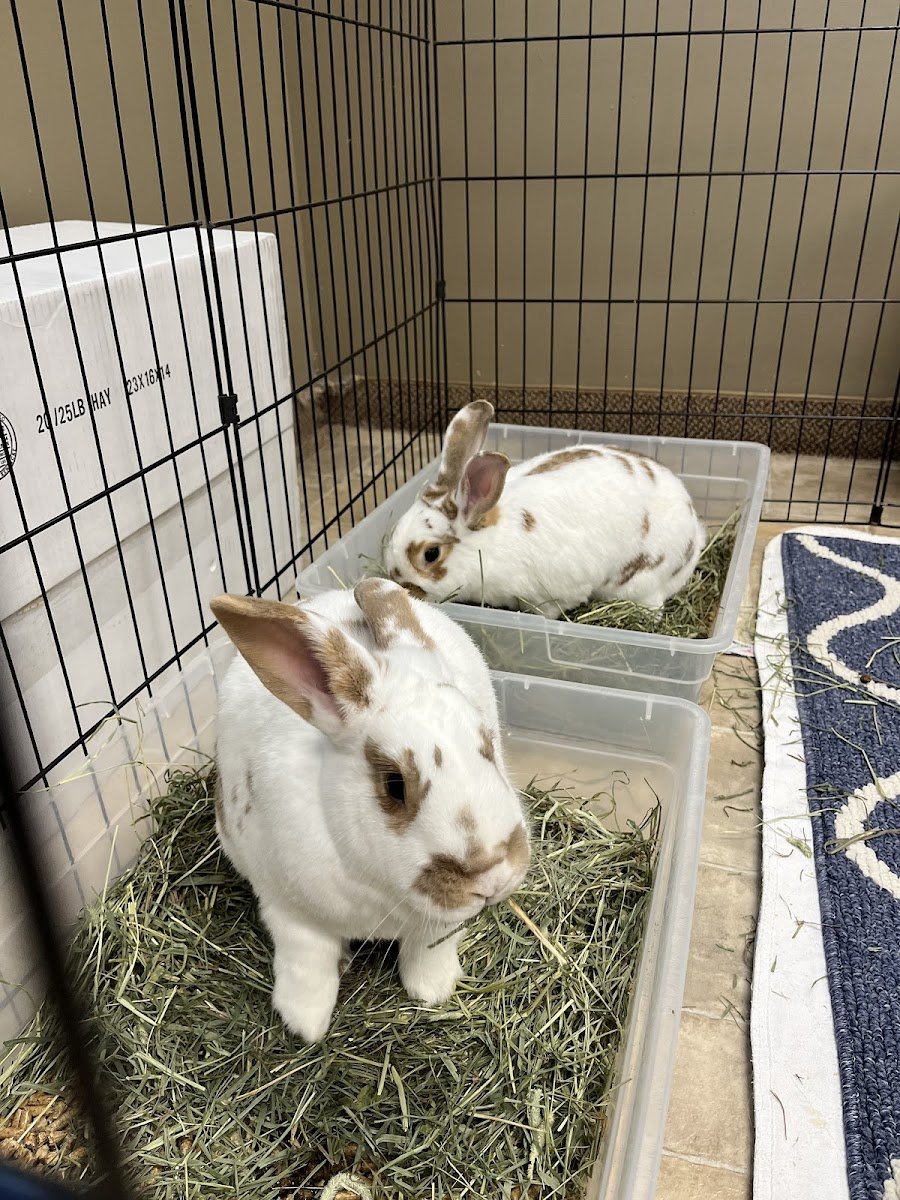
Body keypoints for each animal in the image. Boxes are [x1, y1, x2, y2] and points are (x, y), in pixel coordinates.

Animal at [210, 577, 530, 1043]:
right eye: (394, 785)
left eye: (488, 746)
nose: (491, 876)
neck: (377, 886)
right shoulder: (288, 911)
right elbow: (307, 965)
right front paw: (305, 1025)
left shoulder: (437, 924)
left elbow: (427, 952)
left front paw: (433, 991)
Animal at [384, 400, 706, 616]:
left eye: (431, 554)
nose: (399, 583)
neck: (491, 540)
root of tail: (695, 532)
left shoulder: (551, 597)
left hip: (643, 582)